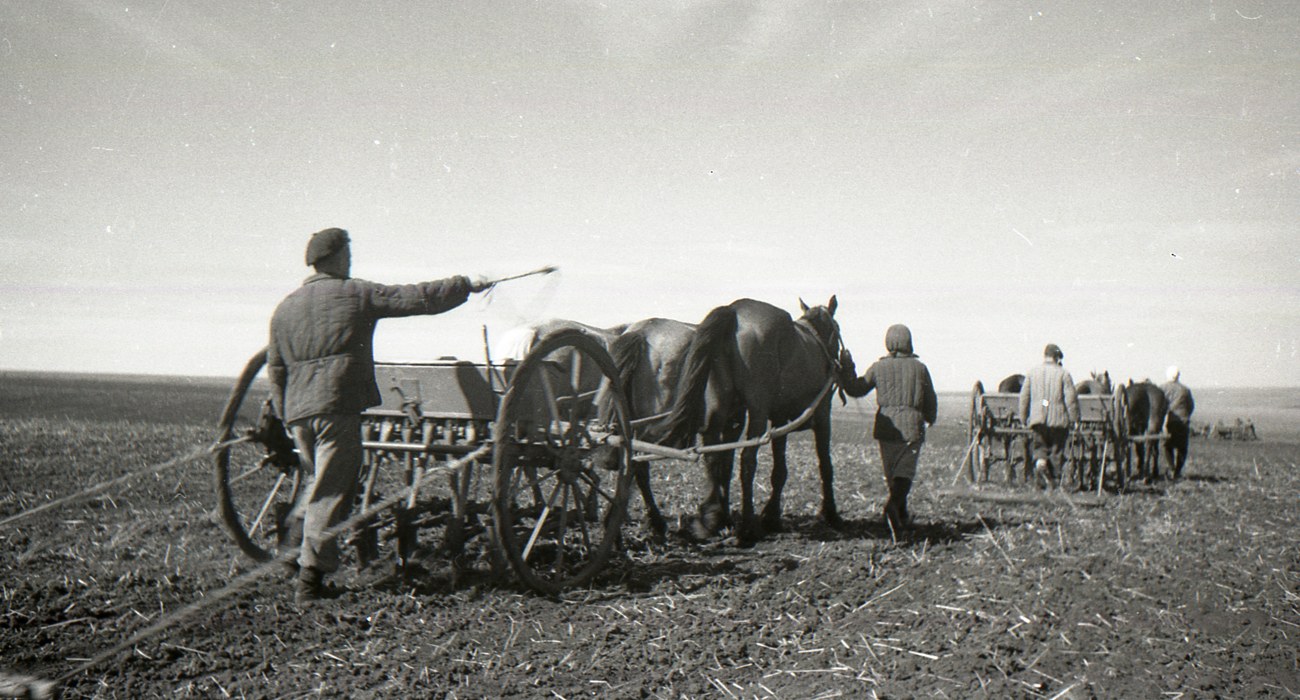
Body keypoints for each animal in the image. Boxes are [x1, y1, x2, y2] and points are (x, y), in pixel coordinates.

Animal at [650, 296, 852, 541]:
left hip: (722, 407)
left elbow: (779, 470)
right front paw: (831, 514)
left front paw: (772, 517)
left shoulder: (779, 419)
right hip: (757, 411)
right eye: (837, 328)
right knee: (747, 460)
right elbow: (825, 465)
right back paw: (747, 526)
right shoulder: (822, 416)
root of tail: (734, 311)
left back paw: (714, 519)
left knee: (715, 455)